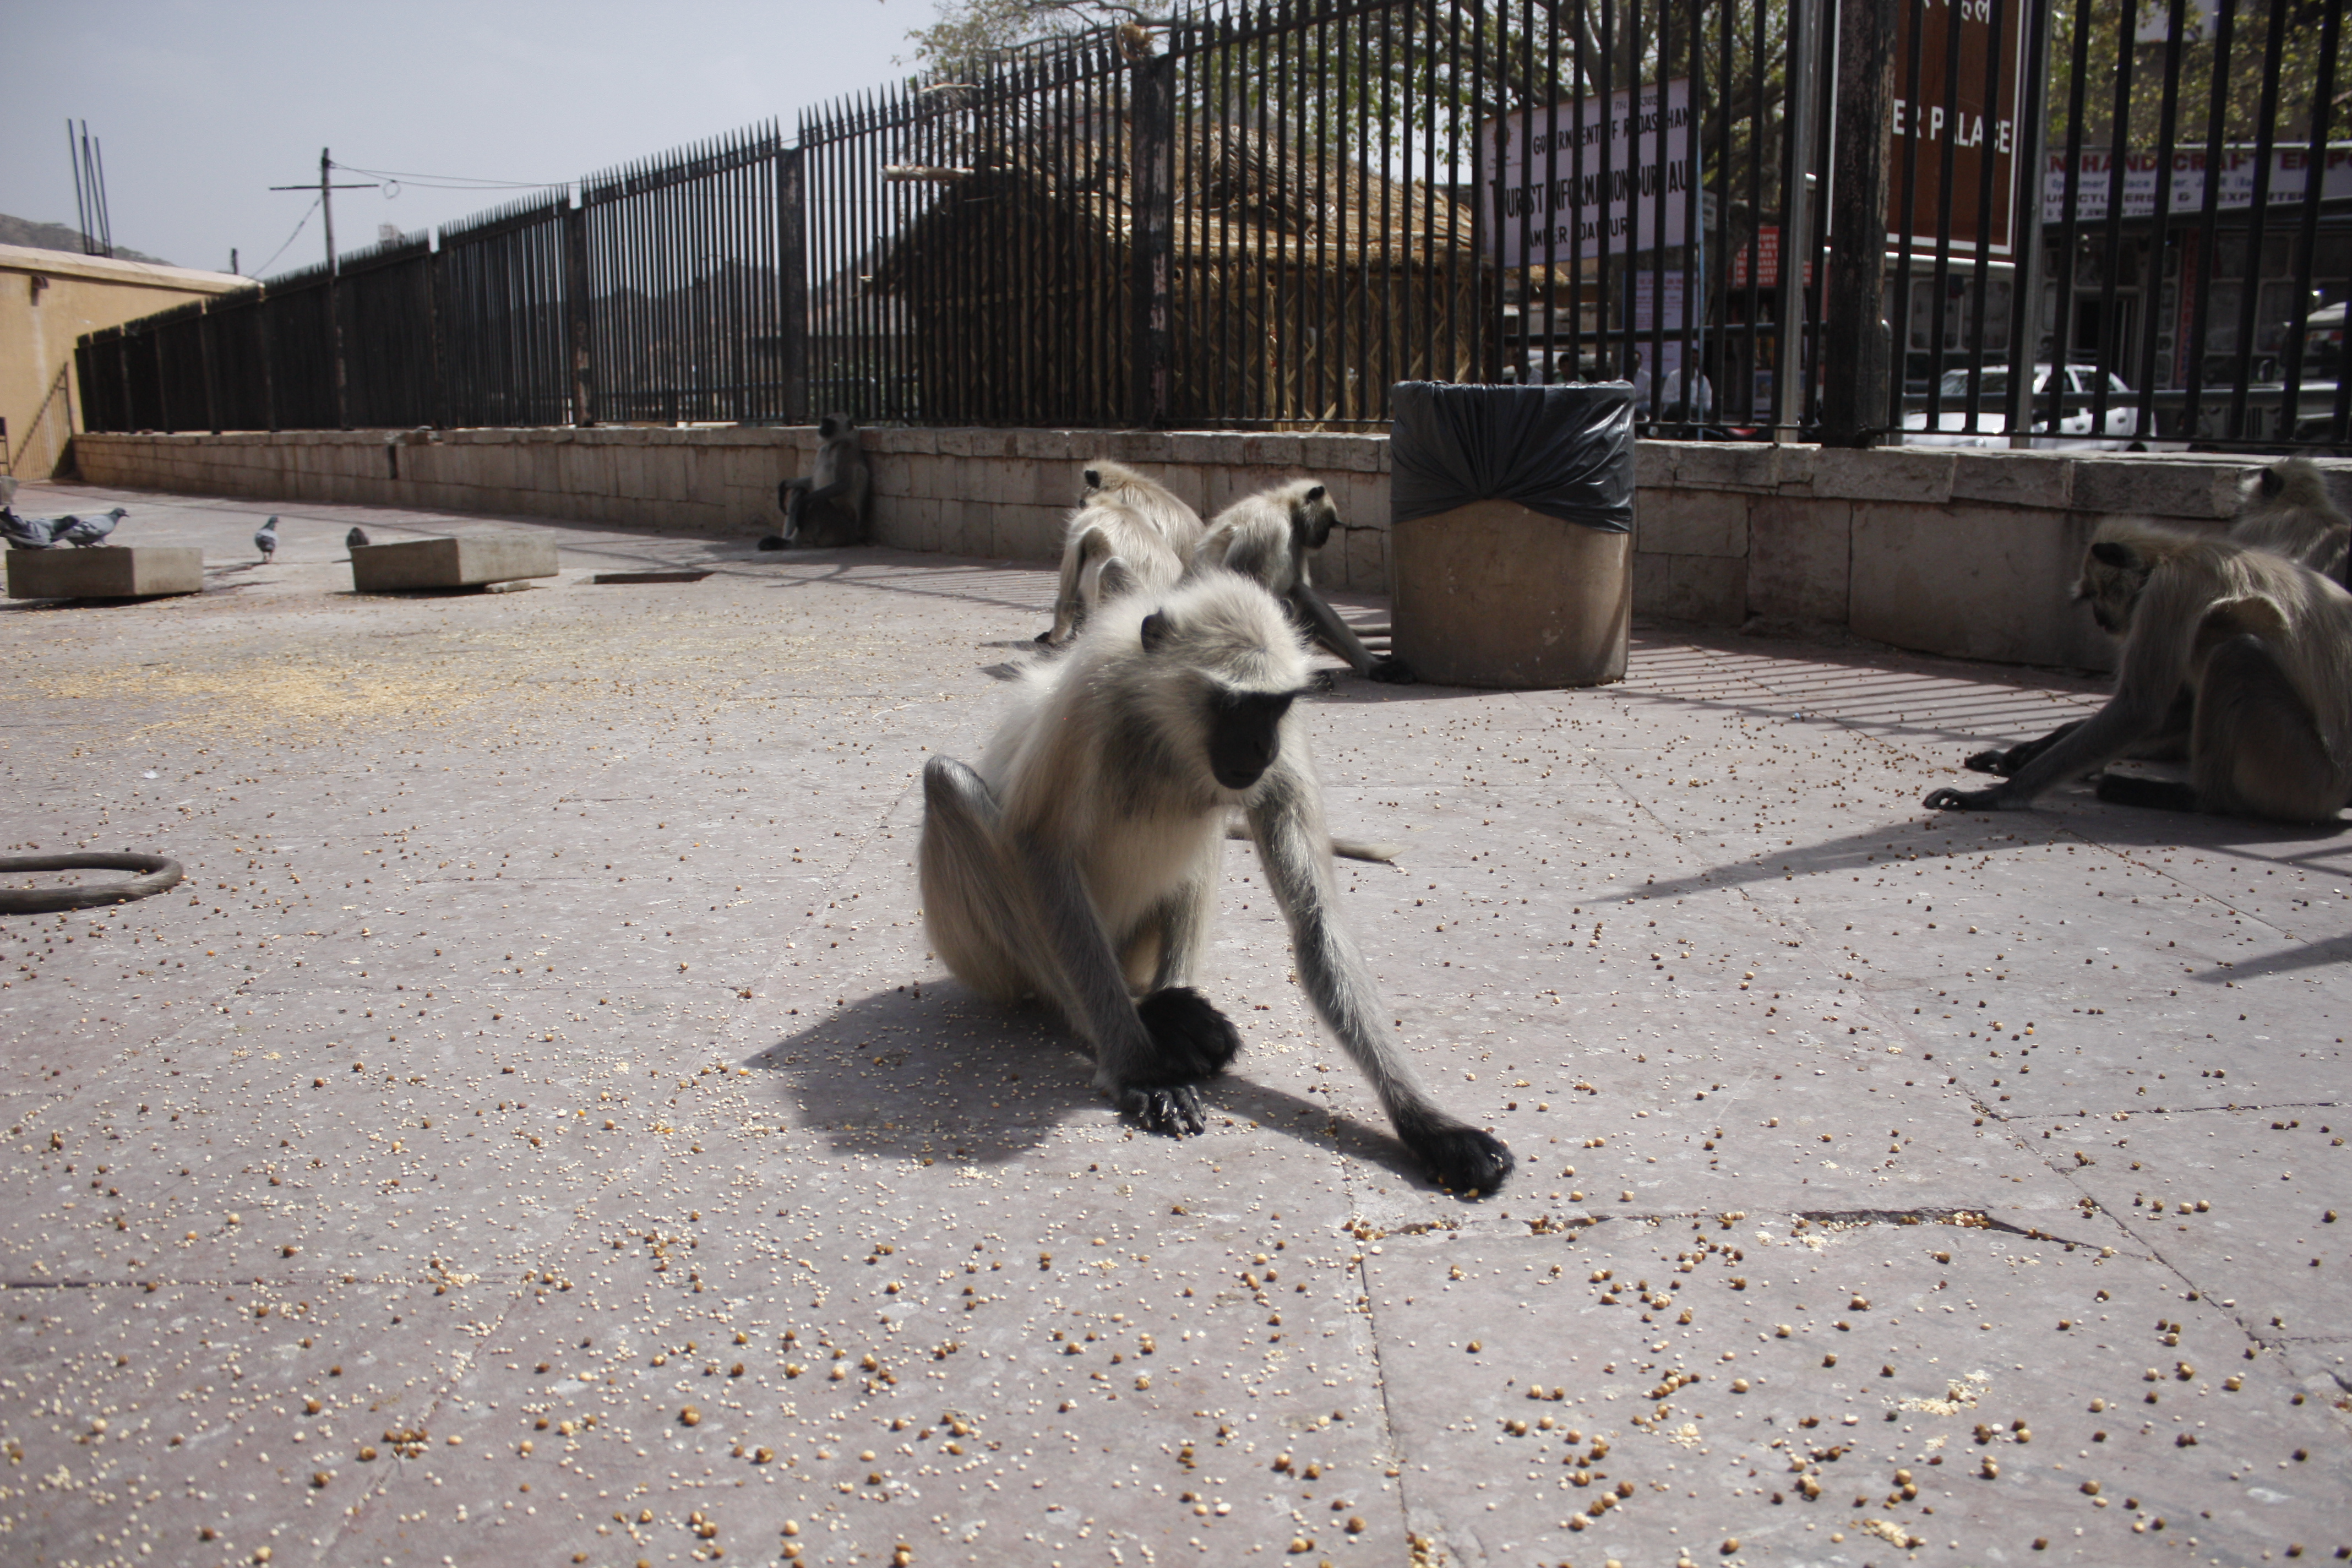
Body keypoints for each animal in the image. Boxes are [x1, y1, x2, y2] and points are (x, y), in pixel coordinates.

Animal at [762, 413, 871, 549]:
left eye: (830, 424)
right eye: (824, 422)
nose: (822, 428)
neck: (833, 445)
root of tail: (855, 535)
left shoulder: (843, 449)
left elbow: (842, 484)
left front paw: (804, 501)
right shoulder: (823, 450)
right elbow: (812, 482)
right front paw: (785, 485)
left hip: (841, 530)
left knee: (817, 503)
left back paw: (791, 543)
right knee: (800, 491)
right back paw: (784, 539)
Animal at [918, 572, 1515, 1193]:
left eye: (1274, 707)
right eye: (1235, 706)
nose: (1261, 746)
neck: (1166, 732)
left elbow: (1315, 917)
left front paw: (1431, 1127)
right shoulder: (1090, 698)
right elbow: (1040, 850)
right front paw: (1139, 1070)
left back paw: (1177, 1010)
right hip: (988, 959)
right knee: (947, 782)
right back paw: (1147, 1025)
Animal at [1187, 480, 1416, 683]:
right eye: (1329, 523)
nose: (1325, 537)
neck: (1283, 506)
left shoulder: (1296, 540)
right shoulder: (1268, 526)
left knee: (1301, 594)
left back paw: (1369, 666)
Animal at [1925, 521, 2352, 824]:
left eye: (2097, 594)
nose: (2099, 618)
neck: (2173, 553)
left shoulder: (2168, 592)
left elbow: (2141, 710)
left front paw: (1999, 794)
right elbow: (2170, 708)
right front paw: (2019, 754)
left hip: (2306, 772)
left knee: (2235, 652)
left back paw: (2199, 799)